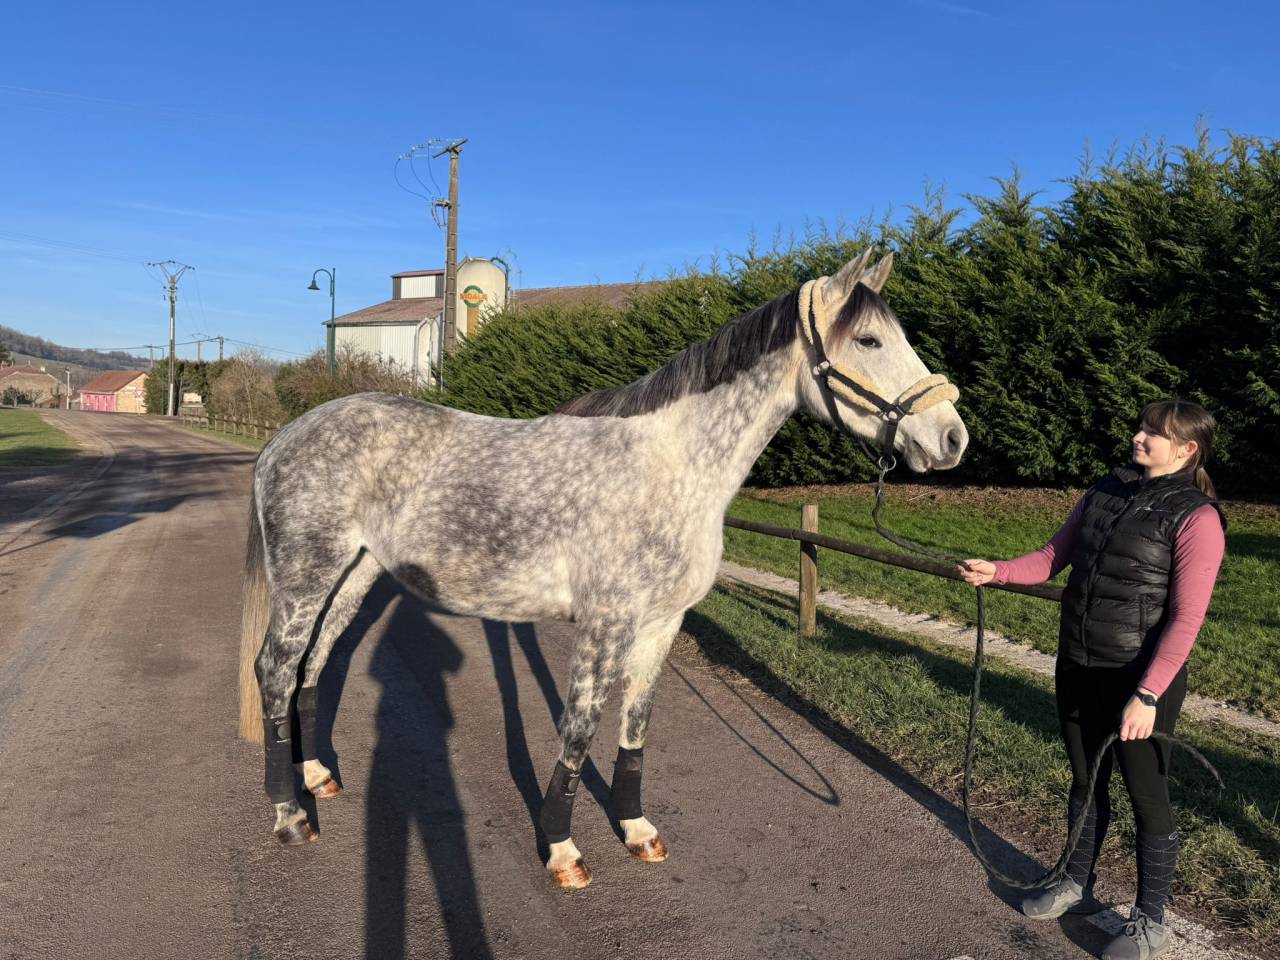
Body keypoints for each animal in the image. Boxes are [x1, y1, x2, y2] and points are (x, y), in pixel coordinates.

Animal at [238, 249, 968, 888]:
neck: (672, 468)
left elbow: (635, 724)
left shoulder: (662, 623)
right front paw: (562, 850)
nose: (952, 438)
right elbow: (580, 729)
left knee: (313, 663)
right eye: (869, 340)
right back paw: (289, 815)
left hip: (354, 574)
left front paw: (637, 831)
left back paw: (317, 778)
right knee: (274, 668)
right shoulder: (605, 623)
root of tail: (285, 437)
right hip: (307, 574)